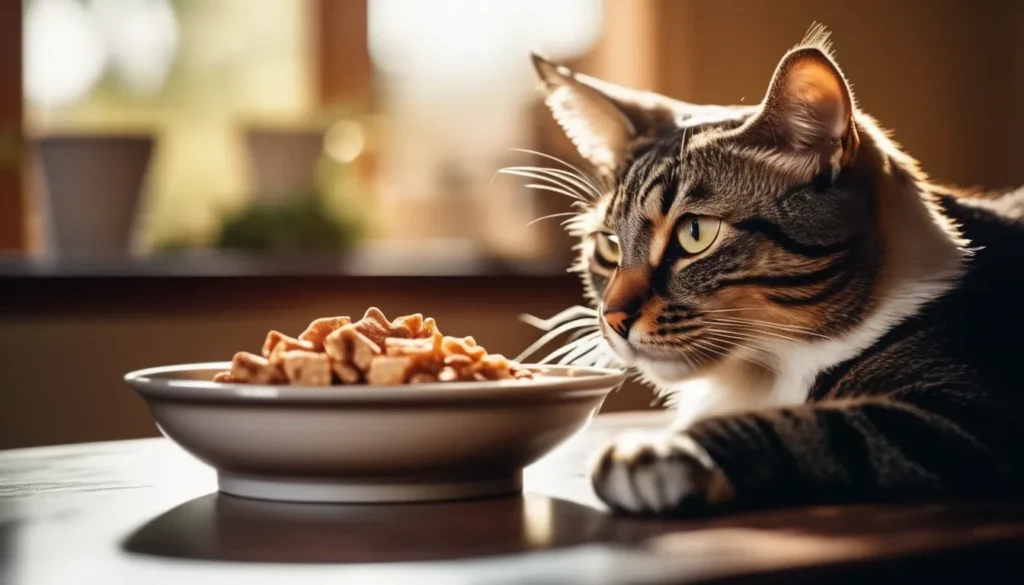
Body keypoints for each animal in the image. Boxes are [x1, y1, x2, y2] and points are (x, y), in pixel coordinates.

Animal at [516, 25, 1024, 514]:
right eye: (609, 245)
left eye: (695, 233)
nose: (613, 318)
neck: (770, 366)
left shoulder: (974, 413)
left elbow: (825, 428)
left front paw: (664, 452)